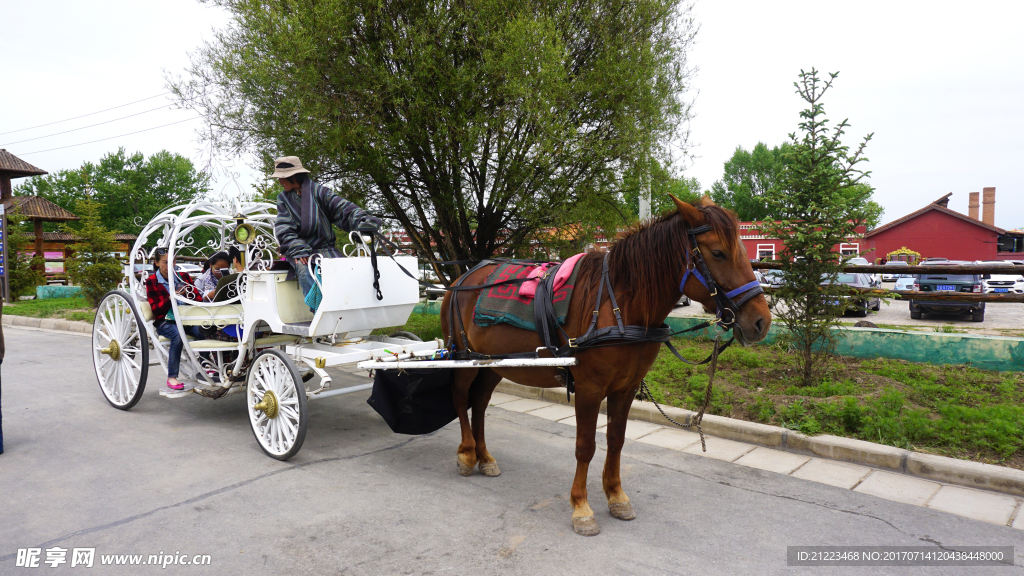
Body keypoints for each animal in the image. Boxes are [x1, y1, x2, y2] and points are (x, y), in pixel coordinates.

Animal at [438, 195, 770, 532]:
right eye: (718, 252)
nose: (761, 322)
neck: (619, 306)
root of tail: (463, 279)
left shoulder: (624, 388)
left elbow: (616, 440)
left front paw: (616, 495)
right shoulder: (589, 389)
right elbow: (585, 446)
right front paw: (581, 506)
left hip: (492, 364)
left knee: (479, 403)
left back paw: (484, 457)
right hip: (464, 358)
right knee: (460, 397)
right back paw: (467, 454)